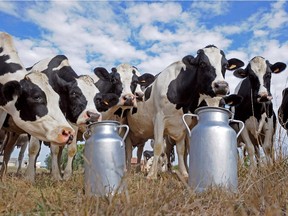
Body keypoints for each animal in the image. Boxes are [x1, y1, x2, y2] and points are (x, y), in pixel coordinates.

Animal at [125, 44, 243, 179]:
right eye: (202, 63)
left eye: (225, 65)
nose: (221, 86)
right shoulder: (159, 119)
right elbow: (158, 146)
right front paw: (151, 175)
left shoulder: (182, 124)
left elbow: (182, 150)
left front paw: (184, 173)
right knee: (129, 151)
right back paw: (129, 172)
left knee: (139, 151)